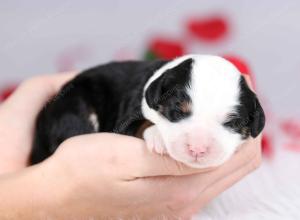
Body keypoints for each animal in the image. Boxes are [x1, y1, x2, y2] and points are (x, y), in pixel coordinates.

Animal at [30, 54, 264, 168]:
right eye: (176, 112)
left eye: (232, 123)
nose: (197, 149)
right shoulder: (126, 119)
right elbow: (143, 122)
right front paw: (159, 136)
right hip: (73, 108)